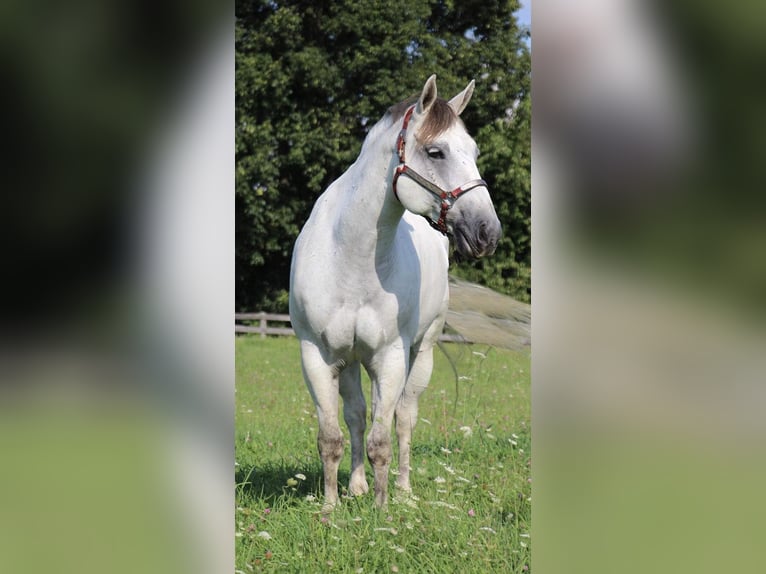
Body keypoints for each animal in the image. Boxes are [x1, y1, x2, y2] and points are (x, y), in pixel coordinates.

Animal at [292, 75, 500, 508]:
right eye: (436, 151)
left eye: (473, 151)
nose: (488, 232)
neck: (350, 257)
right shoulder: (317, 357)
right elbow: (331, 437)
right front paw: (331, 507)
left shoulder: (390, 358)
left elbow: (382, 440)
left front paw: (383, 509)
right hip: (351, 360)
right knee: (356, 415)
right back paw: (356, 485)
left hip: (420, 353)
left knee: (403, 418)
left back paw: (403, 490)